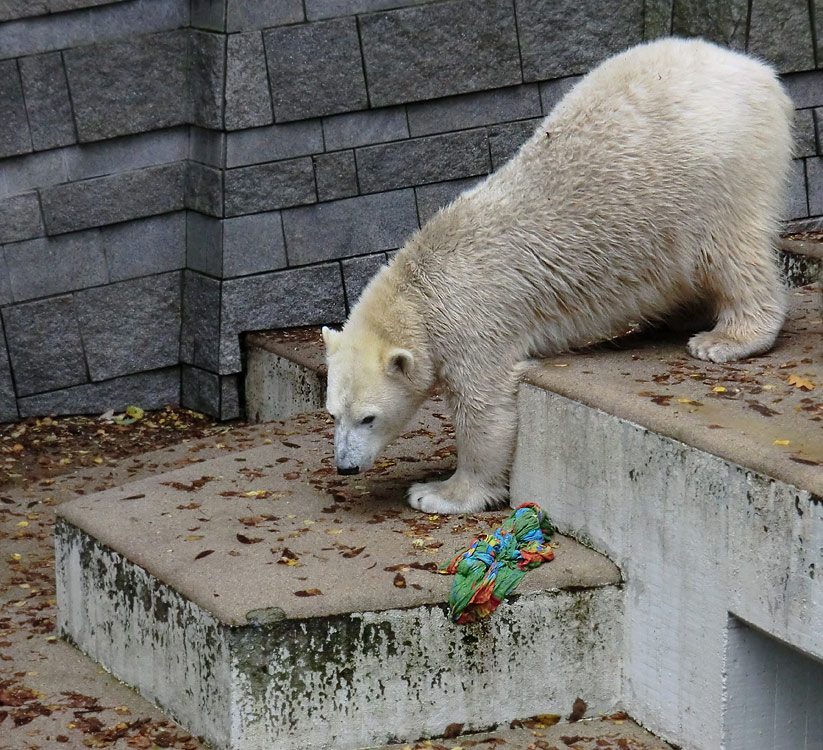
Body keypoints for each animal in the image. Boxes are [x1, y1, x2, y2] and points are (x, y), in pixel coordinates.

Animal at [320, 38, 792, 516]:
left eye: (369, 417)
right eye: (332, 413)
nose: (345, 467)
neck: (418, 293)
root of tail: (758, 72)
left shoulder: (474, 320)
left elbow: (484, 408)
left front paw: (439, 492)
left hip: (713, 168)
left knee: (728, 250)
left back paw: (727, 338)